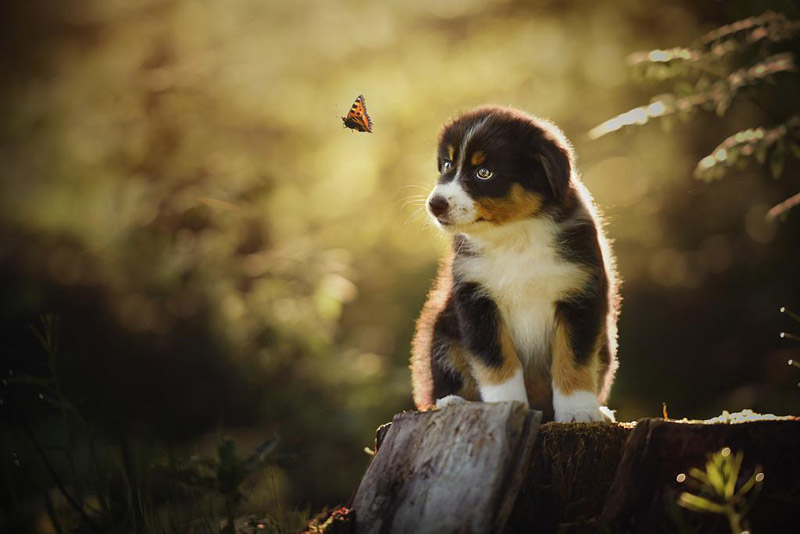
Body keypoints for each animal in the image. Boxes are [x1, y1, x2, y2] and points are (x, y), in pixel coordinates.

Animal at [410, 105, 620, 422]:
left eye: (484, 172)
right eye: (447, 165)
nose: (435, 204)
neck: (515, 236)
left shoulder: (579, 295)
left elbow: (574, 360)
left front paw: (579, 412)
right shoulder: (477, 301)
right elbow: (498, 364)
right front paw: (507, 405)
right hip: (441, 332)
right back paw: (453, 402)